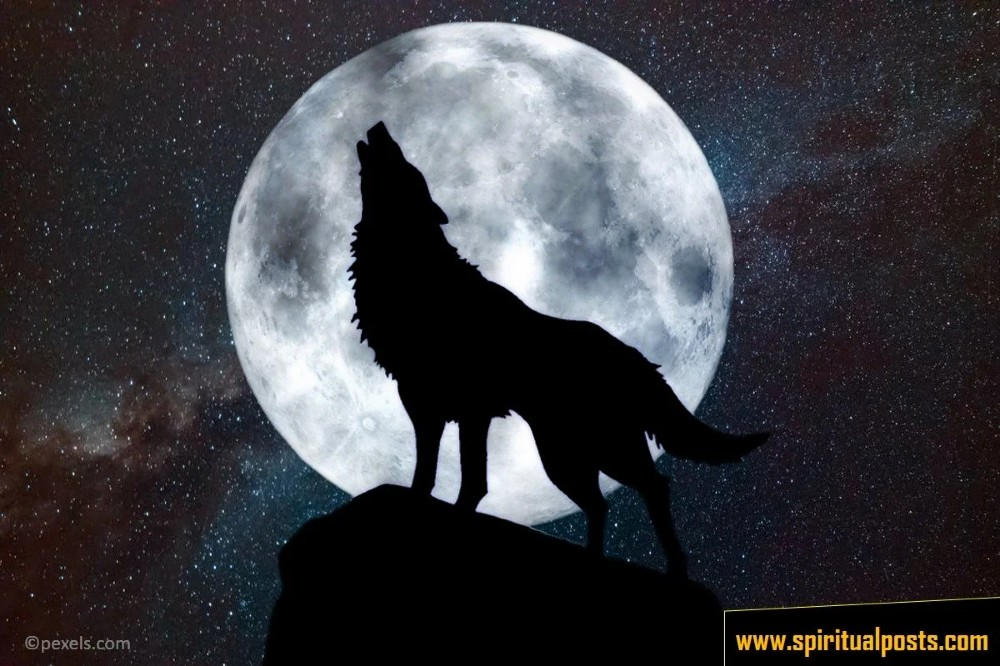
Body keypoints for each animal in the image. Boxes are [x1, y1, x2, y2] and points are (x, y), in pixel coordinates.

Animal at [349, 122, 767, 576]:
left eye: (407, 166)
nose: (379, 126)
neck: (416, 270)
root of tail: (633, 355)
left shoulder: (470, 411)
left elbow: (471, 481)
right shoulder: (426, 406)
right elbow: (428, 475)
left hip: (594, 448)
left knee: (652, 486)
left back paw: (673, 568)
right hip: (565, 455)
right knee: (602, 503)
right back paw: (593, 561)